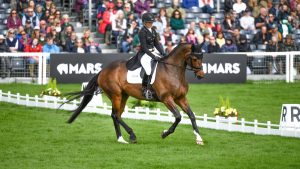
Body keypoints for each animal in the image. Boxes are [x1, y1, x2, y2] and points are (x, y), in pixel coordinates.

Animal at [66, 43, 204, 145]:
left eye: (202, 58)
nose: (201, 75)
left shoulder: (180, 98)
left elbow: (192, 115)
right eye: (195, 58)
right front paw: (164, 133)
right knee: (115, 115)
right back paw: (130, 136)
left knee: (116, 115)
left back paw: (121, 138)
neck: (172, 70)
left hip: (123, 95)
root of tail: (103, 70)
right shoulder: (167, 99)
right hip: (116, 95)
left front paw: (199, 138)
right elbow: (178, 117)